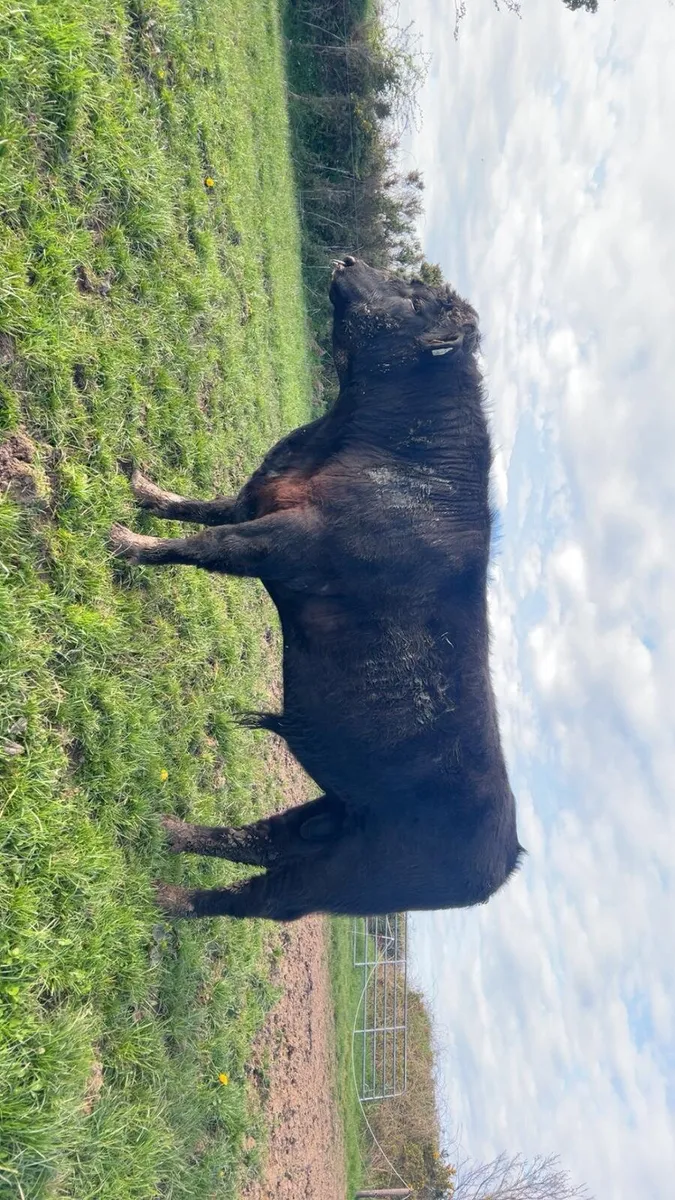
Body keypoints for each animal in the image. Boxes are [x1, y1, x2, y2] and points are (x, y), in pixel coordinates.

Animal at [110, 256, 523, 921]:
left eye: (417, 302)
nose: (350, 260)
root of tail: (501, 863)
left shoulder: (281, 542)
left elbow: (207, 546)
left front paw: (124, 540)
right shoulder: (258, 498)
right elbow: (200, 509)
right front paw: (142, 489)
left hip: (341, 878)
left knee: (254, 897)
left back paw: (164, 897)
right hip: (327, 816)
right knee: (254, 841)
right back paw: (166, 830)